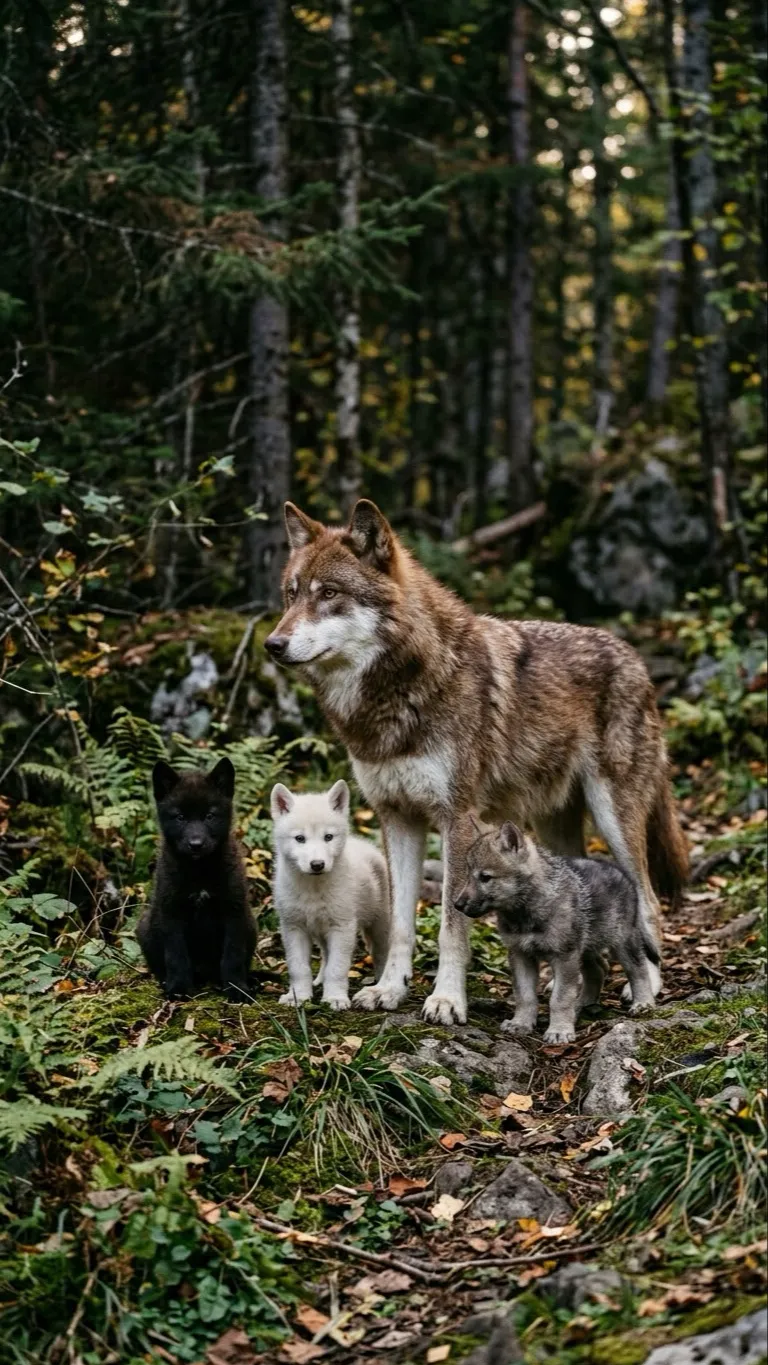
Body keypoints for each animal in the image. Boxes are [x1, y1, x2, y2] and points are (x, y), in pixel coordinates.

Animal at [136, 757, 256, 999]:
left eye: (209, 816)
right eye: (180, 817)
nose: (196, 844)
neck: (199, 869)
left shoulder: (234, 910)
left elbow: (233, 956)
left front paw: (237, 989)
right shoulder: (171, 911)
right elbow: (176, 956)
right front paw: (178, 989)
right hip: (145, 927)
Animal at [271, 778, 390, 1010]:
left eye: (328, 837)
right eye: (300, 838)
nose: (317, 864)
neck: (313, 889)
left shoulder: (342, 927)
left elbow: (337, 968)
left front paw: (335, 998)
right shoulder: (293, 927)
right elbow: (299, 968)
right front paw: (298, 996)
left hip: (379, 922)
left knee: (381, 952)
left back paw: (382, 983)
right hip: (320, 932)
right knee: (325, 955)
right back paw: (319, 980)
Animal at [454, 821, 659, 1042]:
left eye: (485, 877)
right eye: (468, 875)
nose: (457, 905)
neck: (525, 912)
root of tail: (617, 869)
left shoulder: (564, 957)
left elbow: (560, 999)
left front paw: (559, 1030)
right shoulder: (520, 954)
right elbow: (525, 996)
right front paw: (521, 1023)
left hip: (622, 942)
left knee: (638, 970)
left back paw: (643, 1003)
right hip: (585, 948)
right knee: (599, 969)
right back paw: (583, 1003)